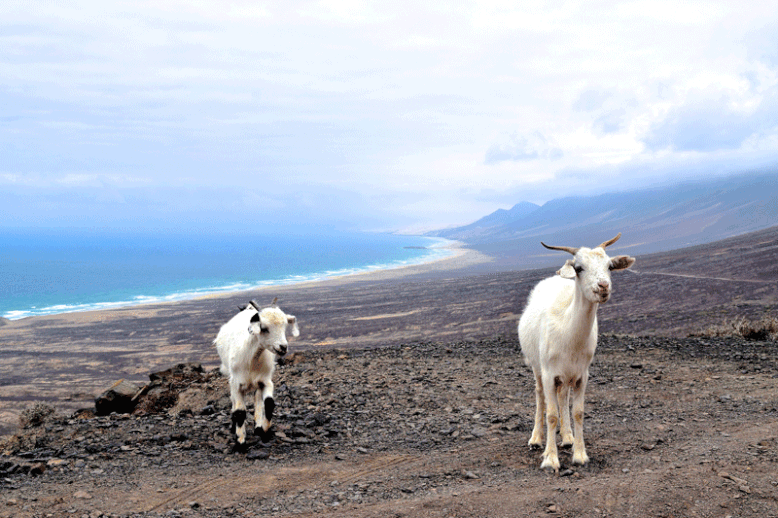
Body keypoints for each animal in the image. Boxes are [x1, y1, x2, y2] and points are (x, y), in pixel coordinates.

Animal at [214, 300, 298, 446]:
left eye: (284, 327)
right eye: (263, 328)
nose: (283, 347)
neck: (252, 360)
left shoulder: (266, 381)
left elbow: (269, 403)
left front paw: (264, 430)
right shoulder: (236, 384)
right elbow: (240, 411)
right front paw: (240, 441)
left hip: (258, 383)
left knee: (258, 399)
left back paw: (258, 426)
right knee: (233, 402)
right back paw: (234, 425)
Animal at [516, 234, 632, 474]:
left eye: (609, 266)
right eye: (579, 268)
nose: (603, 286)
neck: (569, 331)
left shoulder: (581, 374)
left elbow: (578, 412)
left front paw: (579, 455)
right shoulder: (549, 374)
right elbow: (551, 415)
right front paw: (550, 459)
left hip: (566, 376)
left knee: (563, 396)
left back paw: (568, 437)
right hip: (537, 367)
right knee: (540, 395)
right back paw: (536, 439)